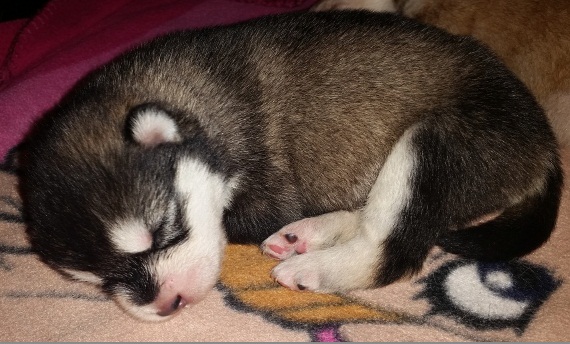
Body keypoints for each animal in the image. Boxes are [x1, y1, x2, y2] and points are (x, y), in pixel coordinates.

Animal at [20, 11, 560, 322]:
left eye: (163, 231)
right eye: (95, 280)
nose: (165, 305)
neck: (193, 103)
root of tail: (544, 143)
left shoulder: (266, 189)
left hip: (434, 142)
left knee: (395, 246)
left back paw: (315, 266)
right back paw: (309, 233)